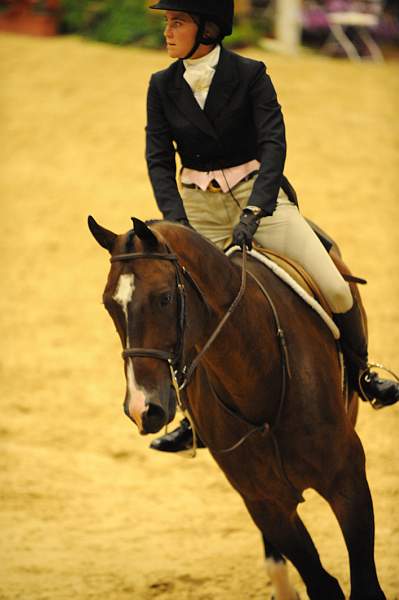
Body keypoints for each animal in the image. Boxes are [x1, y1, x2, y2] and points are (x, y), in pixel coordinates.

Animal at [89, 216, 386, 600]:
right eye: (109, 305)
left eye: (164, 298)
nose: (143, 407)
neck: (256, 378)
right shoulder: (264, 503)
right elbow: (322, 583)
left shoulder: (347, 481)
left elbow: (365, 586)